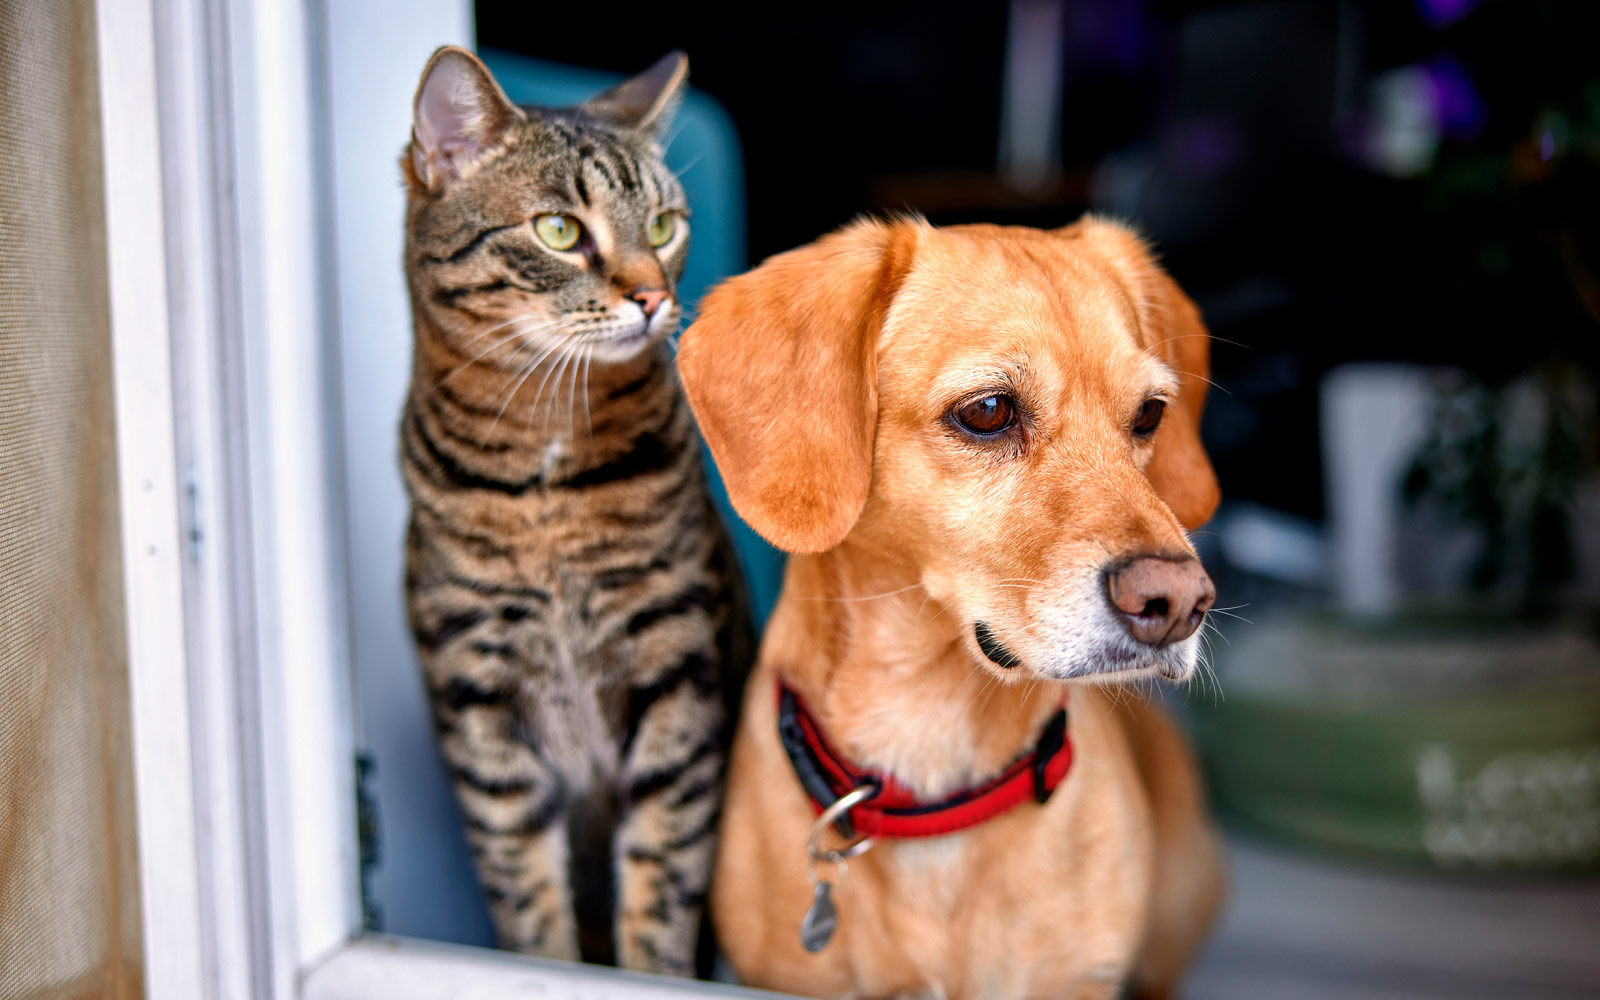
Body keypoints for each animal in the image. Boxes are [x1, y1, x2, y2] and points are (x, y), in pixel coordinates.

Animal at [400, 48, 748, 972]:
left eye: (663, 227)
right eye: (559, 230)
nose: (653, 297)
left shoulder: (677, 667)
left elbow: (664, 870)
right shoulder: (478, 691)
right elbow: (524, 886)